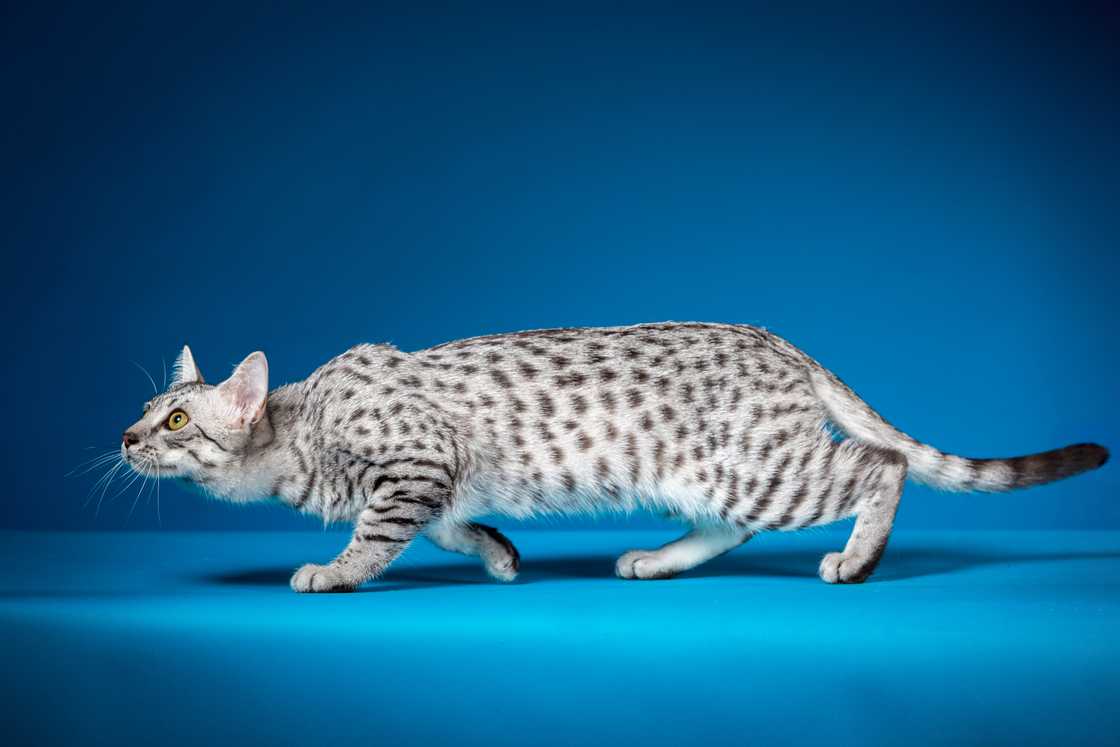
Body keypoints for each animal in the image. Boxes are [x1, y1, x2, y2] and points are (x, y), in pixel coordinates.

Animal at [118, 324, 1106, 591]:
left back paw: (856, 560)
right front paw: (500, 556)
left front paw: (332, 569)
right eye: (142, 412)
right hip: (711, 476)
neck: (302, 428)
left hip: (760, 469)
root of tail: (784, 344)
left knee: (879, 467)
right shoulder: (437, 485)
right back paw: (657, 559)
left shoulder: (415, 464)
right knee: (728, 530)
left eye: (177, 420)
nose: (125, 437)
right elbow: (449, 530)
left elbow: (375, 536)